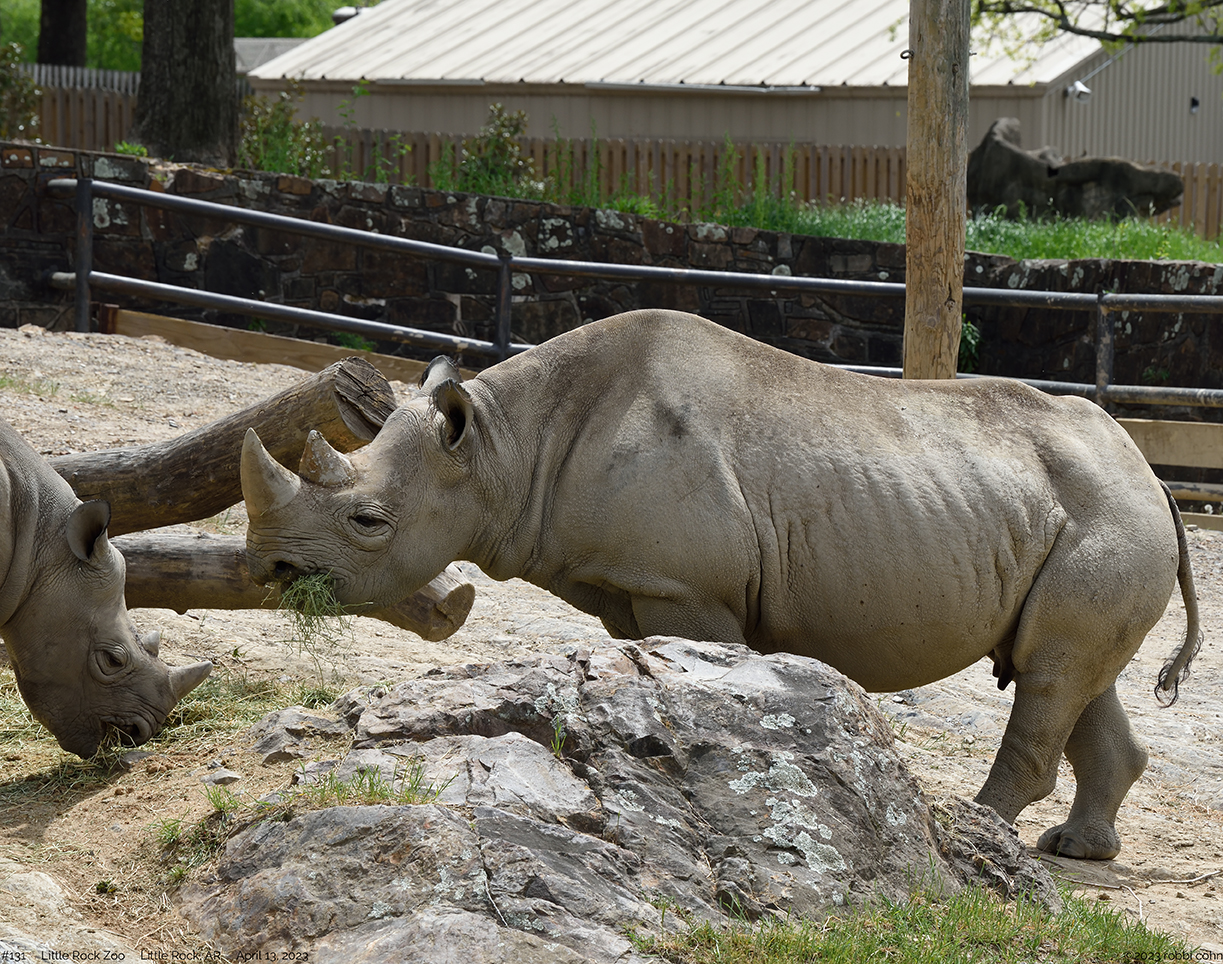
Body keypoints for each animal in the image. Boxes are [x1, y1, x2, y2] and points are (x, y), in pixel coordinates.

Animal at [241, 309, 1201, 860]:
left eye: (367, 523)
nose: (276, 571)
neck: (503, 448)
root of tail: (1151, 473)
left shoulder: (685, 585)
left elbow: (715, 677)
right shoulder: (633, 583)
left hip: (1109, 514)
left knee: (1050, 672)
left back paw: (983, 835)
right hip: (1094, 512)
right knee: (1070, 673)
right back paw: (1073, 852)